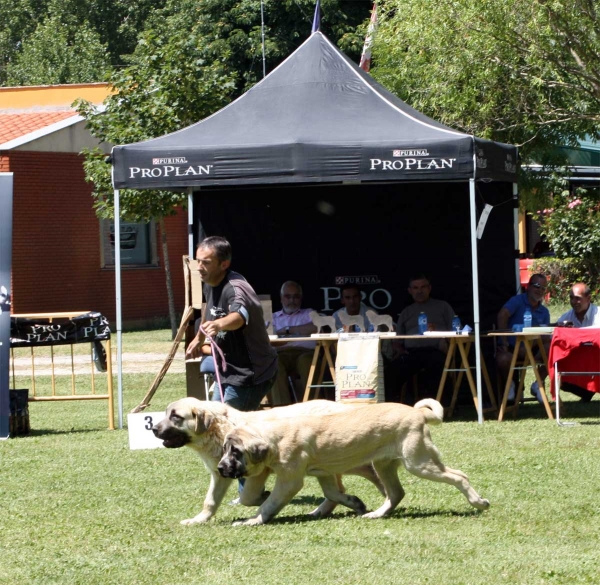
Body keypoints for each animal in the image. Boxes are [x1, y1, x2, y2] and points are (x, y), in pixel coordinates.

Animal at [152, 396, 382, 524]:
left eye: (175, 416)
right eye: (166, 413)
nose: (153, 428)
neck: (218, 429)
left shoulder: (257, 471)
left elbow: (247, 497)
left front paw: (263, 498)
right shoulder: (220, 475)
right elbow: (210, 500)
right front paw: (199, 520)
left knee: (366, 473)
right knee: (336, 491)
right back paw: (323, 510)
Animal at [218, 400, 490, 528]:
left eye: (236, 451)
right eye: (224, 449)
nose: (220, 468)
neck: (274, 437)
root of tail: (419, 413)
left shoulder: (289, 481)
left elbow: (269, 505)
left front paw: (251, 521)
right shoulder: (324, 474)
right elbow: (333, 493)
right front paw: (355, 503)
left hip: (419, 463)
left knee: (459, 476)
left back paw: (478, 503)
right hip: (385, 465)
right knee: (396, 493)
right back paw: (376, 514)